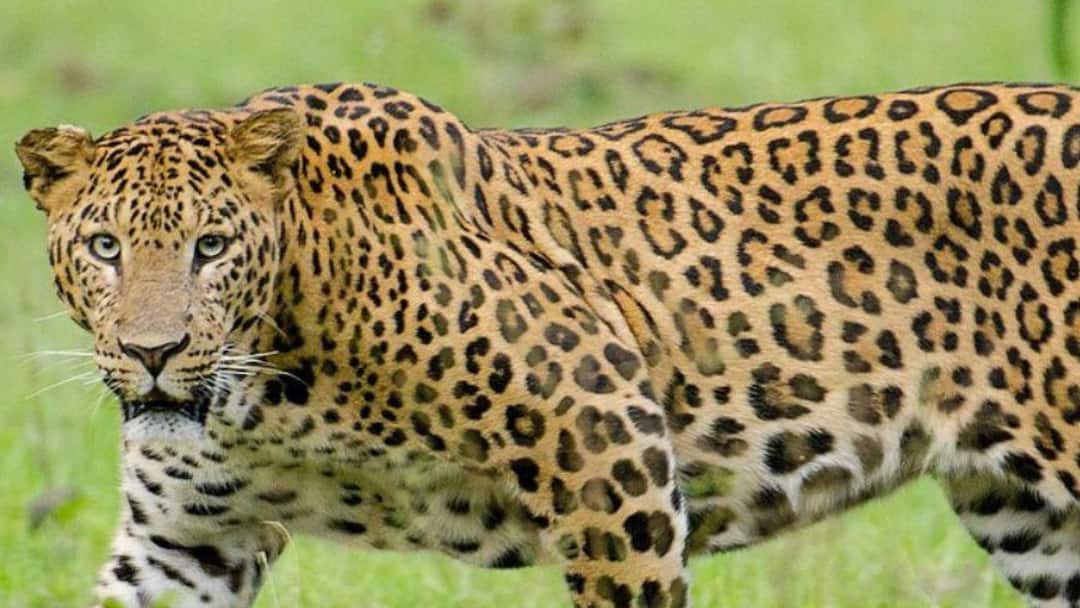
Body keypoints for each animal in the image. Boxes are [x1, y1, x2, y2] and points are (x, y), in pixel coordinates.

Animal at [15, 80, 1080, 608]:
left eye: (211, 247)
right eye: (105, 247)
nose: (154, 352)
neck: (269, 390)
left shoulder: (610, 457)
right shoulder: (184, 541)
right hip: (1032, 526)